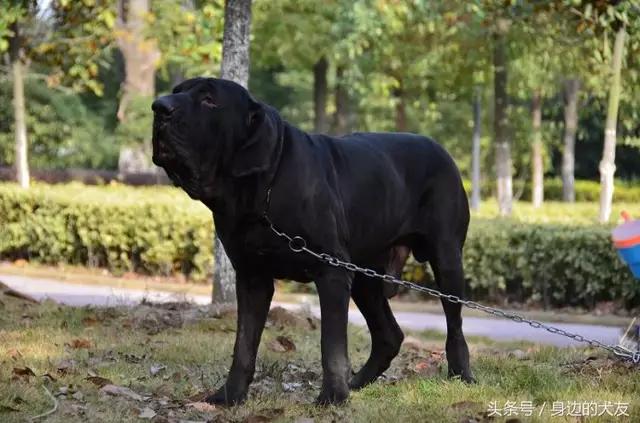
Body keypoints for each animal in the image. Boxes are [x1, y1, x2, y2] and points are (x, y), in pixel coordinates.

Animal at [149, 78, 470, 406]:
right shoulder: (252, 278)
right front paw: (230, 395)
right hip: (366, 276)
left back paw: (462, 376)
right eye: (176, 91)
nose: (159, 107)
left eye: (209, 100)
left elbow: (331, 345)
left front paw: (332, 397)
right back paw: (357, 383)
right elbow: (244, 345)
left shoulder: (331, 272)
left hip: (446, 259)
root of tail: (441, 150)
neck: (261, 192)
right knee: (389, 335)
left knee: (454, 325)